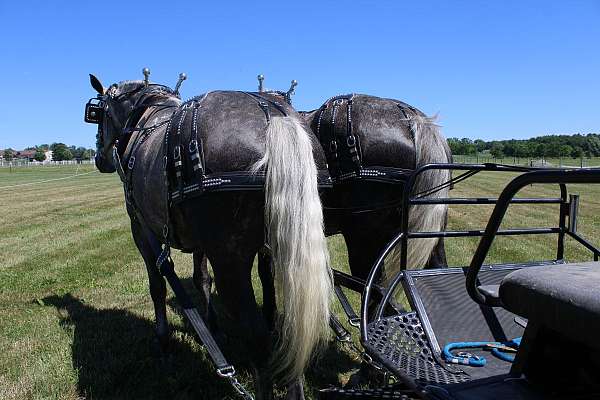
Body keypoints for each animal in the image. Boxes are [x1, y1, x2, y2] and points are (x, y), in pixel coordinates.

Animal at [86, 72, 332, 400]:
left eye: (97, 114)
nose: (100, 159)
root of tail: (274, 118)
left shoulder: (140, 228)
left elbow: (157, 285)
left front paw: (163, 340)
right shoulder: (199, 240)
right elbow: (201, 278)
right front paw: (212, 327)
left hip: (230, 260)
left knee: (256, 335)